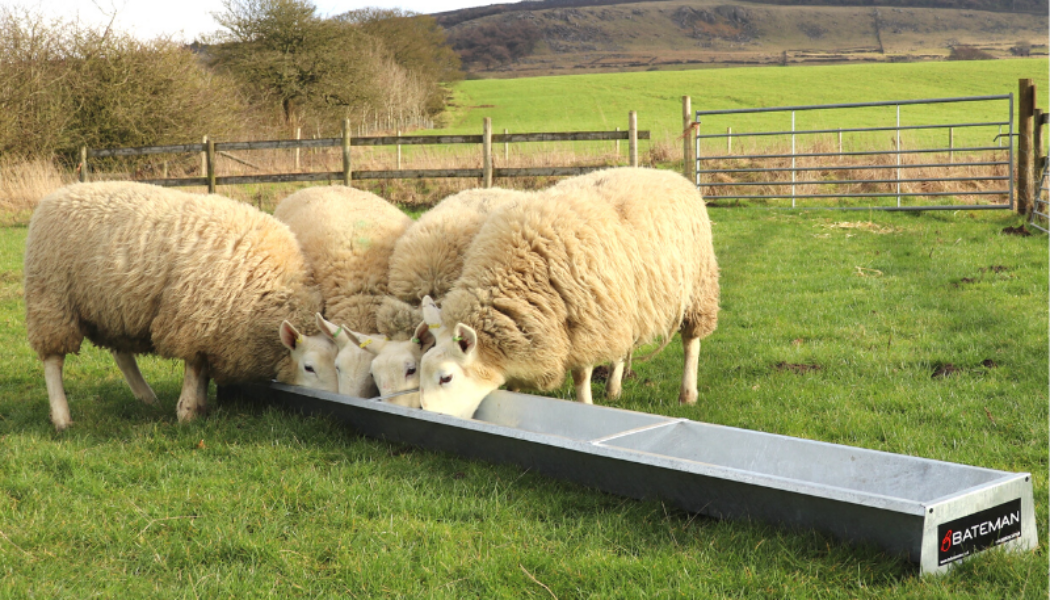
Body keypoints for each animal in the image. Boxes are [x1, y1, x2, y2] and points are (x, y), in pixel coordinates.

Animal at [24, 180, 336, 428]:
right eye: (309, 367)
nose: (334, 399)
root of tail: (55, 195)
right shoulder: (192, 319)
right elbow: (194, 369)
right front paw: (187, 412)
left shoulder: (213, 329)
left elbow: (203, 371)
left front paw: (200, 406)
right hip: (52, 300)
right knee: (53, 362)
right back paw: (62, 417)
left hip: (116, 307)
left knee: (122, 355)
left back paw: (147, 398)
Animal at [417, 167, 722, 420]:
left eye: (446, 378)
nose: (426, 415)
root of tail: (669, 174)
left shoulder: (584, 323)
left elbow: (581, 375)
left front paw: (584, 406)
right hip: (618, 303)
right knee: (620, 346)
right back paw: (613, 388)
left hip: (698, 289)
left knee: (691, 343)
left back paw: (687, 394)